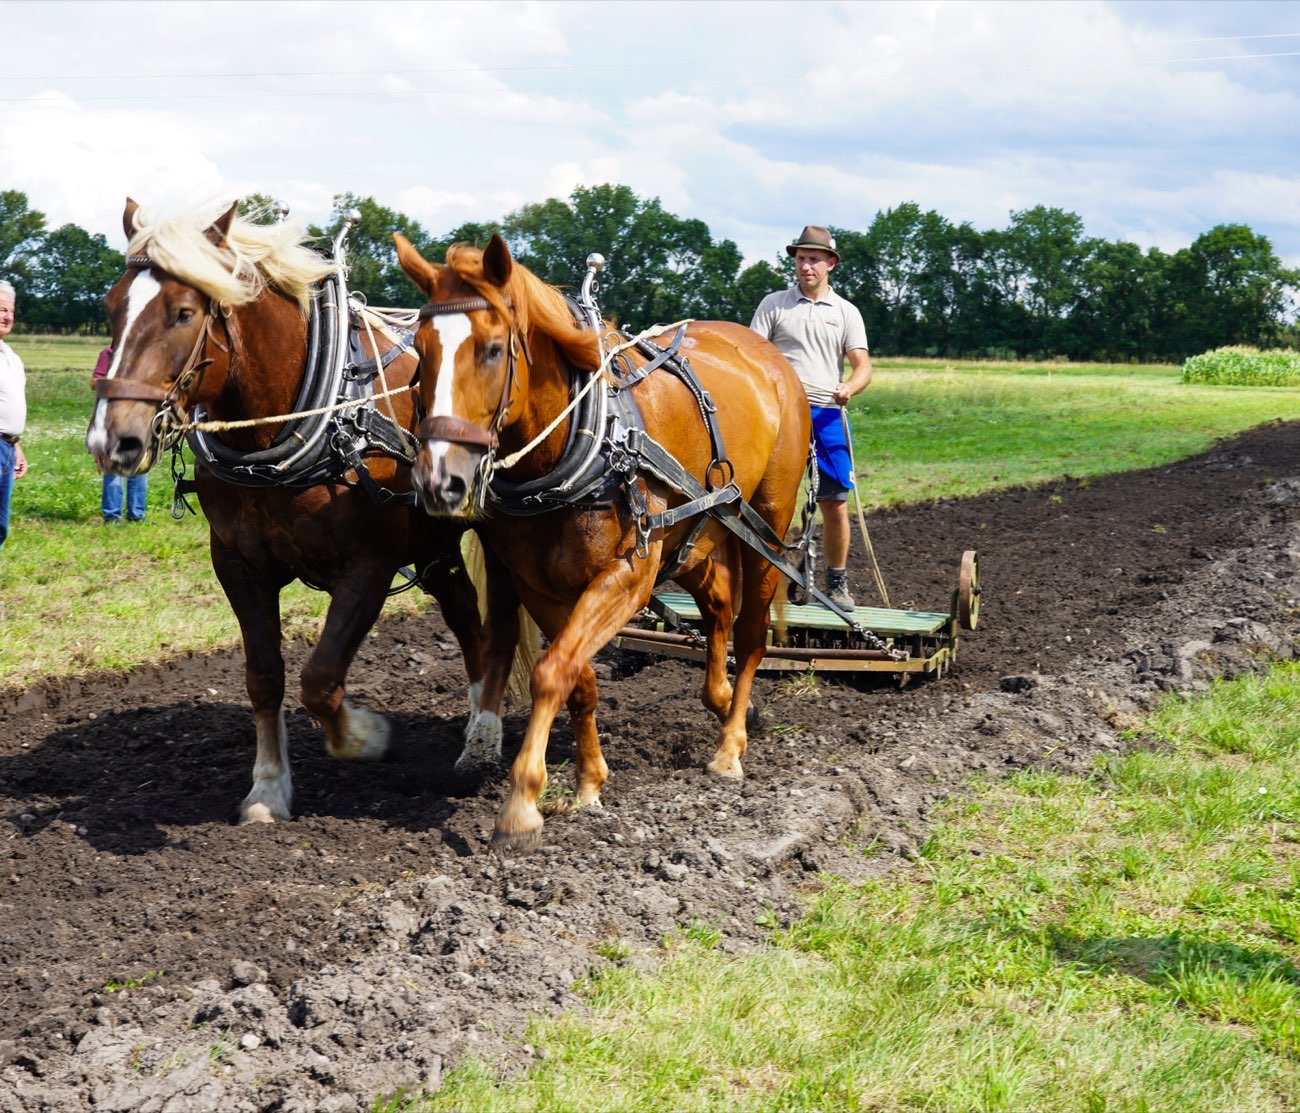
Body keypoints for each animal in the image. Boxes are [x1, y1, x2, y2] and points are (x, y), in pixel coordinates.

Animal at [86, 199, 527, 824]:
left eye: (183, 312)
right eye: (111, 306)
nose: (111, 440)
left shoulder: (370, 566)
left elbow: (320, 679)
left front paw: (368, 737)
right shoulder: (238, 565)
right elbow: (264, 676)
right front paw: (268, 789)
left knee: (499, 625)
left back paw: (485, 736)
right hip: (435, 546)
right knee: (467, 618)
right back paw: (473, 730)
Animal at [392, 231, 812, 852]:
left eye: (491, 350)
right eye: (420, 355)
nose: (437, 481)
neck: (577, 445)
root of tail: (765, 351)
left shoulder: (628, 574)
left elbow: (551, 672)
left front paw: (521, 805)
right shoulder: (538, 584)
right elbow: (576, 677)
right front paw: (589, 783)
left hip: (766, 523)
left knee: (753, 631)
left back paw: (730, 744)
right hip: (691, 530)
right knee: (716, 603)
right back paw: (716, 697)